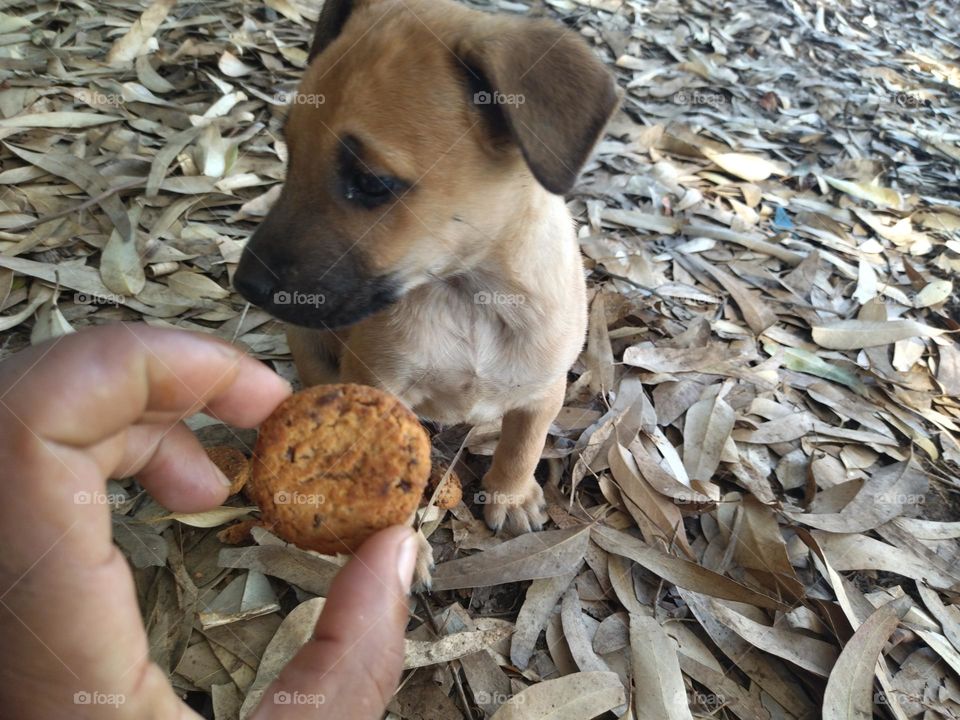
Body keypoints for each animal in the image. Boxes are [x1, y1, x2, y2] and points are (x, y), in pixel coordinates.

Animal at [236, 0, 620, 564]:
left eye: (371, 182)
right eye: (289, 151)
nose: (246, 284)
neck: (470, 294)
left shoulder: (544, 389)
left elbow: (523, 445)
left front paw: (511, 494)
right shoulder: (380, 385)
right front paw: (399, 548)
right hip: (308, 341)